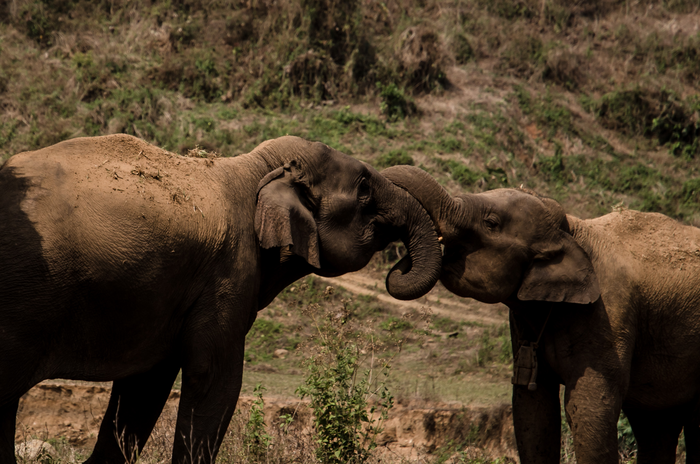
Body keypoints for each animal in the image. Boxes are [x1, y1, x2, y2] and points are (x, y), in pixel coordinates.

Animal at [0, 134, 440, 464]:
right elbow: (216, 378)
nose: (398, 265)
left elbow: (144, 385)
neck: (256, 167)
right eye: (364, 188)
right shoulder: (229, 271)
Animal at [382, 166, 700, 464]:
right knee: (656, 425)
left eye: (491, 223)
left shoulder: (610, 312)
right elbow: (532, 405)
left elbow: (588, 405)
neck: (571, 230)